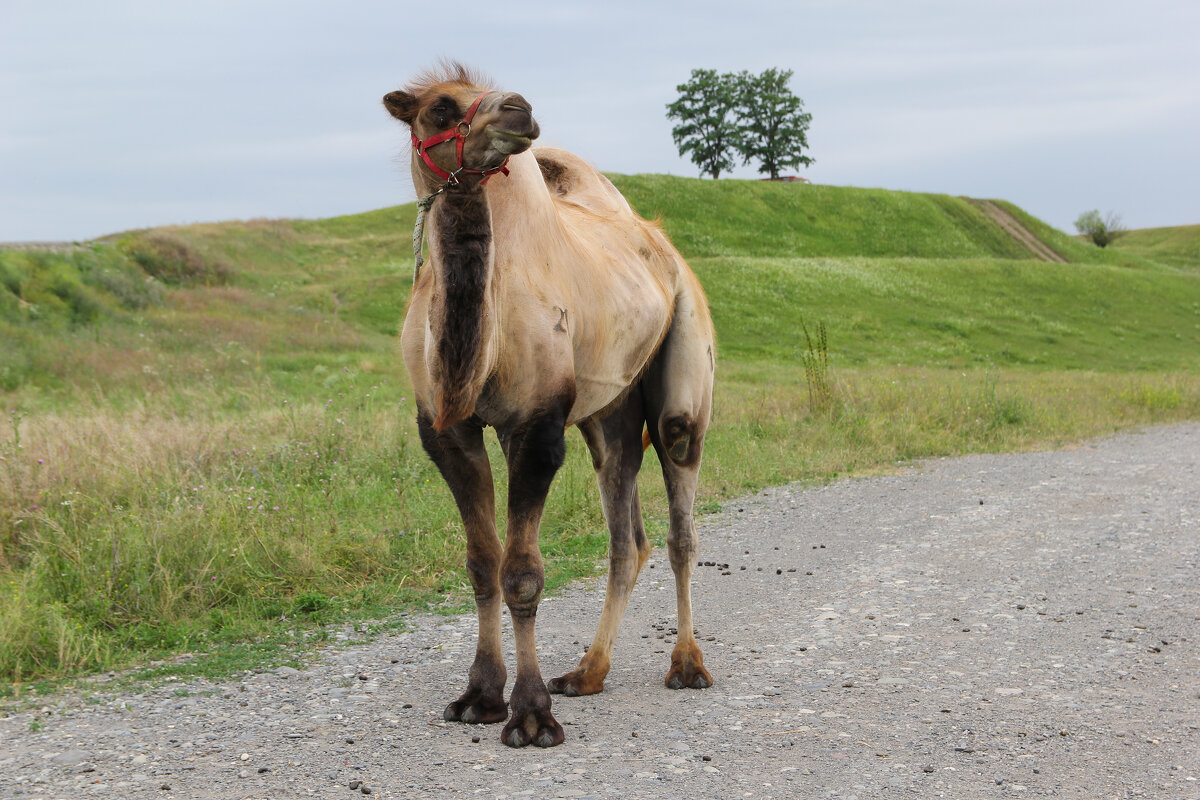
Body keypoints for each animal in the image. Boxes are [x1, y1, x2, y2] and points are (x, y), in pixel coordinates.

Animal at [384, 64, 715, 753]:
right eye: (438, 108)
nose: (519, 109)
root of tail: (660, 244)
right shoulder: (445, 430)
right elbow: (482, 564)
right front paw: (480, 697)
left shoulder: (535, 427)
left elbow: (524, 573)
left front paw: (532, 715)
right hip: (609, 411)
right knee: (627, 536)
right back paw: (587, 673)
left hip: (684, 369)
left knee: (679, 521)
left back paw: (687, 666)